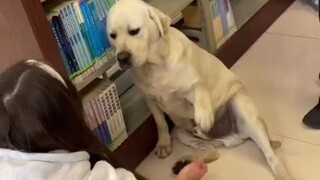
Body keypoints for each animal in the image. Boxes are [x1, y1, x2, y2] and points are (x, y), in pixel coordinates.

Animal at [107, 0, 290, 178]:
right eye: (112, 35)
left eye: (134, 31)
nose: (121, 57)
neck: (154, 64)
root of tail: (234, 138)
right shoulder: (150, 100)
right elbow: (160, 123)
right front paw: (164, 143)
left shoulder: (194, 84)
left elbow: (200, 90)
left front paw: (204, 116)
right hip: (184, 134)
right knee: (212, 151)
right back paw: (186, 161)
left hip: (242, 107)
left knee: (271, 155)